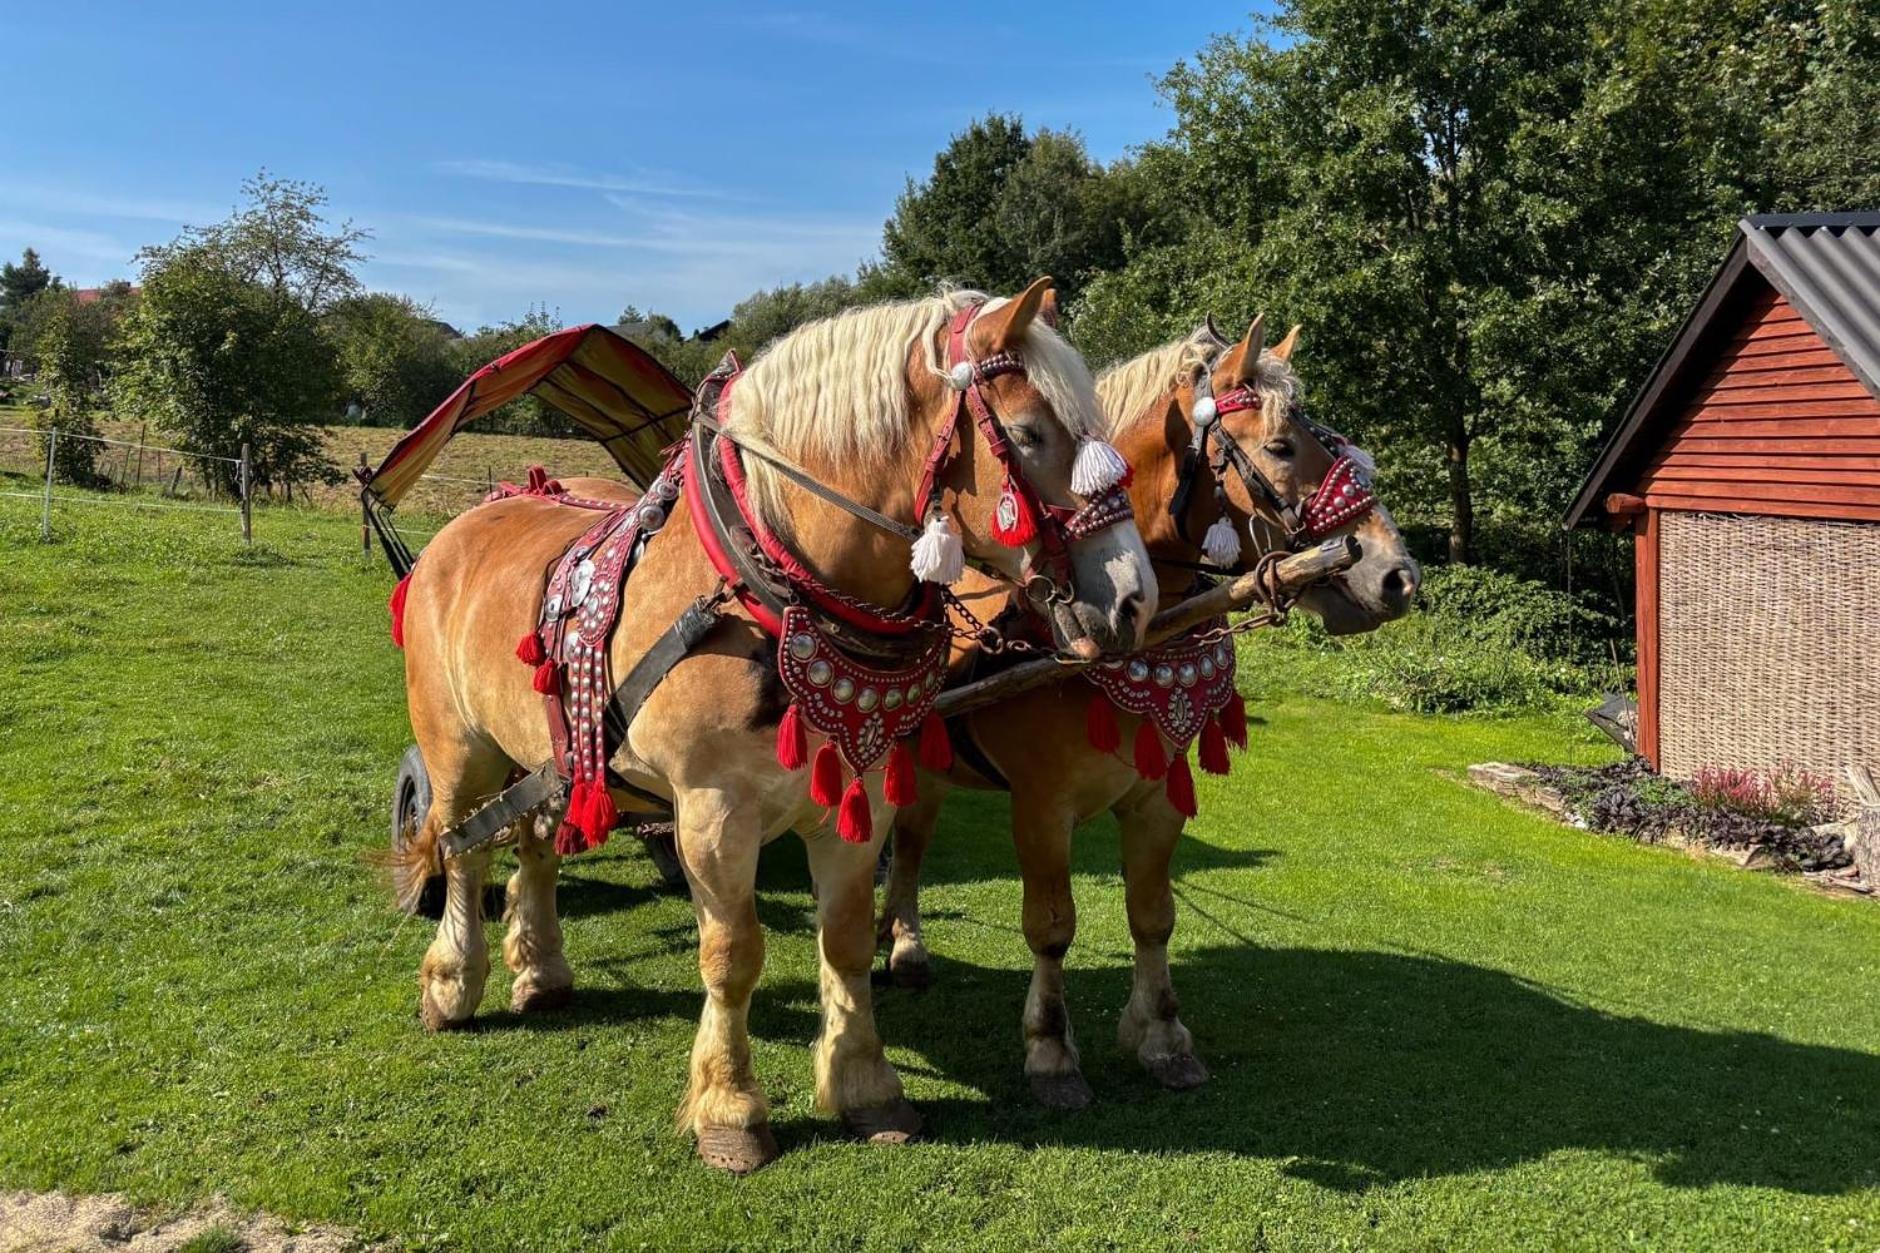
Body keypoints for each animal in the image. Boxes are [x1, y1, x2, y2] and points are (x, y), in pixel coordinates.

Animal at [396, 278, 1158, 1166]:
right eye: (1032, 433)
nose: (1134, 599)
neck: (770, 593)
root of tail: (468, 522)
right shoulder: (713, 811)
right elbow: (732, 953)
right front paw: (731, 1110)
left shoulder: (861, 801)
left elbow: (848, 940)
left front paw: (867, 1086)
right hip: (457, 749)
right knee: (462, 846)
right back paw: (454, 980)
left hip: (555, 751)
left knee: (535, 844)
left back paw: (542, 971)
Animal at [872, 312, 1413, 1106]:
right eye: (1282, 447)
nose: (1398, 574)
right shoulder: (1041, 806)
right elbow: (1051, 925)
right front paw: (1052, 1050)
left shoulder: (1157, 797)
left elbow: (1154, 917)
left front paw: (1160, 1035)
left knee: (909, 841)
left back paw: (903, 940)